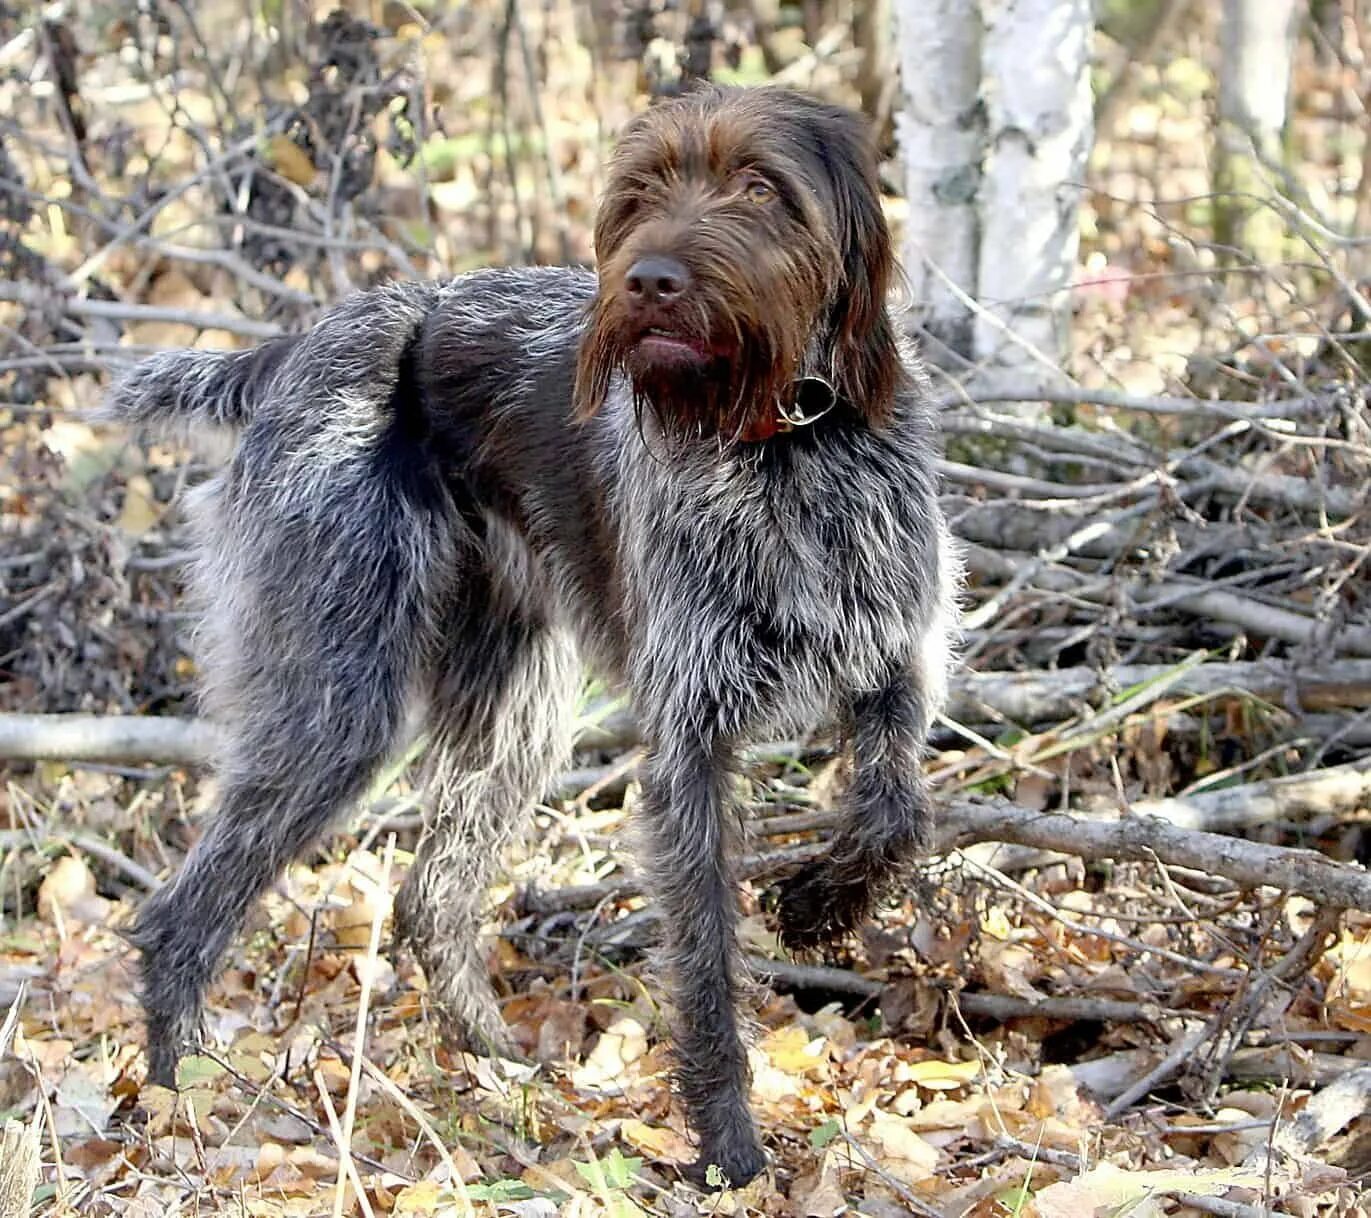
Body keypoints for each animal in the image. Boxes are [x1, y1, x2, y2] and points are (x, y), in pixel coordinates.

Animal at [104, 87, 965, 1190]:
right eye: (641, 191)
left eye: (760, 187)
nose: (650, 280)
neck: (785, 448)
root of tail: (298, 348)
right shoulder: (689, 742)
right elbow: (707, 966)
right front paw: (728, 1149)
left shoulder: (896, 669)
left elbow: (896, 814)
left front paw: (818, 907)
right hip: (341, 701)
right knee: (182, 915)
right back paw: (183, 1108)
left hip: (514, 711)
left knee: (429, 895)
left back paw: (491, 1068)